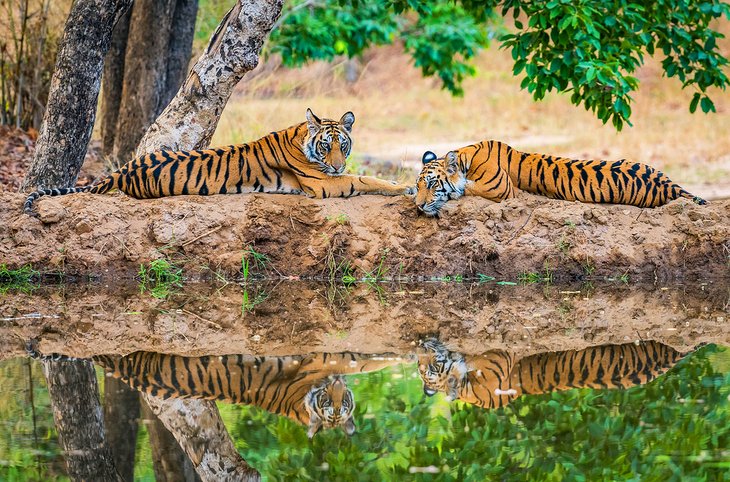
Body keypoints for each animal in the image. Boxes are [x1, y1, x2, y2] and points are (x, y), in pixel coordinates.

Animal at [22, 109, 412, 217]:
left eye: (343, 145)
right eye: (327, 146)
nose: (337, 165)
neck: (302, 136)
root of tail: (123, 170)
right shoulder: (321, 184)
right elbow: (364, 180)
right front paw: (405, 186)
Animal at [24, 340, 404, 438]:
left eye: (345, 404)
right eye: (329, 405)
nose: (338, 388)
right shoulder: (322, 358)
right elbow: (369, 358)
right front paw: (404, 357)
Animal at [416, 141, 704, 217]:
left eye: (432, 184)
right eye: (418, 185)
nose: (418, 206)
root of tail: (671, 185)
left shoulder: (499, 190)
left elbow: (466, 189)